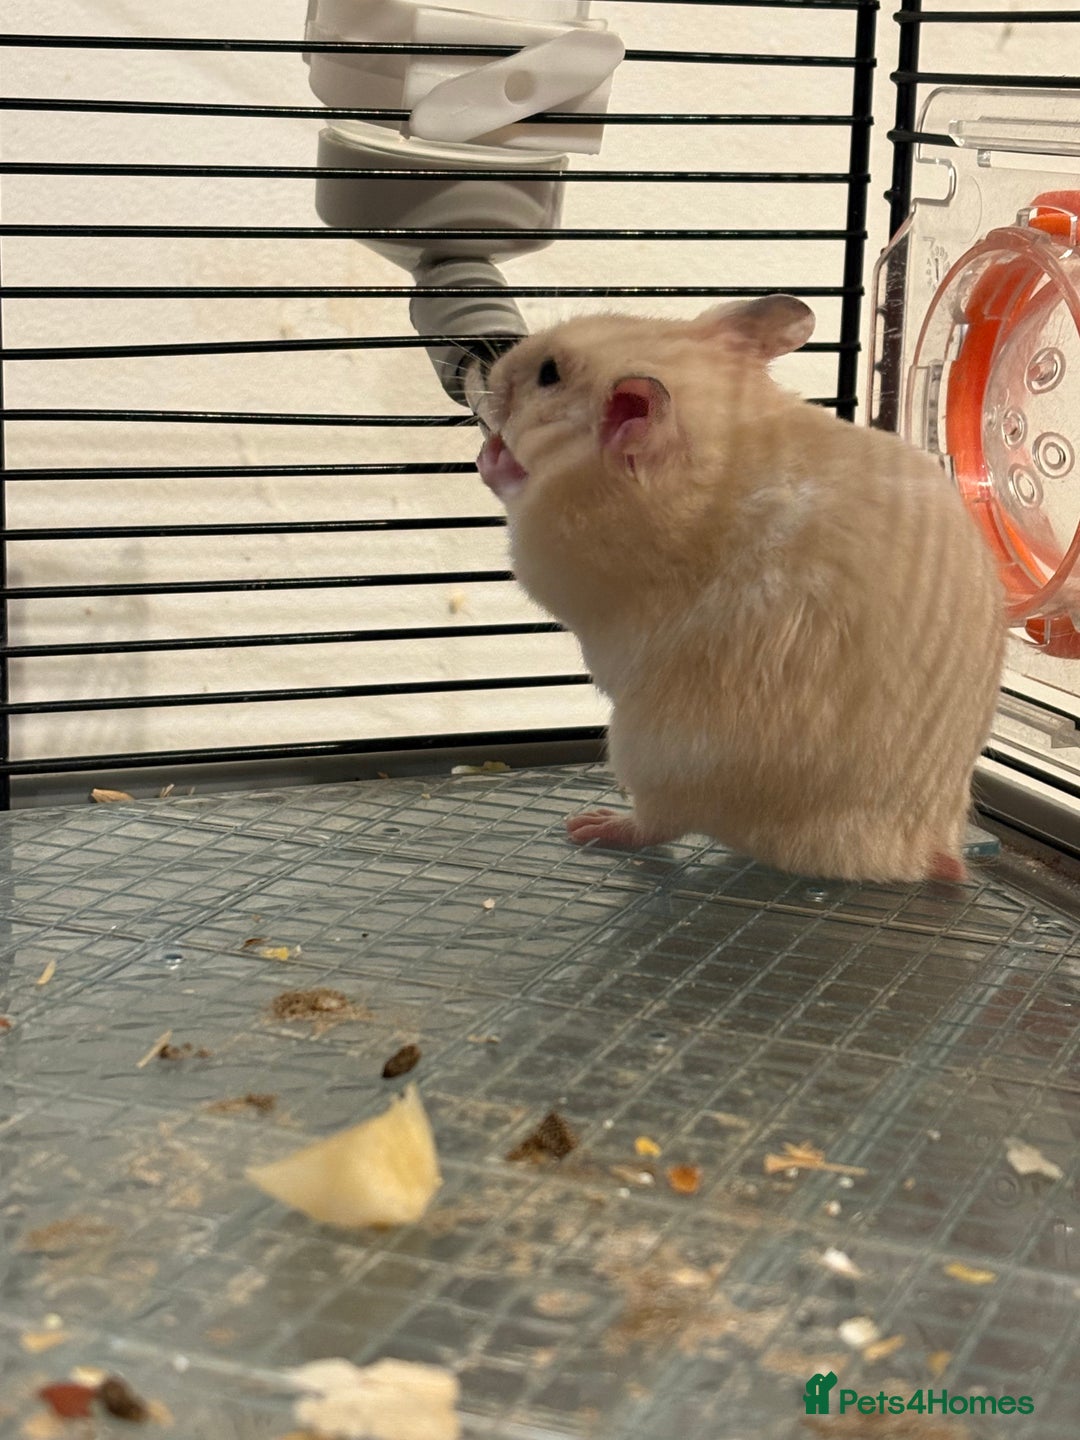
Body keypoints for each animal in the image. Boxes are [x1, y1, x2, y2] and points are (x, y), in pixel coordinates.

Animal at [473, 297, 1005, 884]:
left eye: (549, 375)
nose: (489, 374)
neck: (709, 443)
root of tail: (923, 850)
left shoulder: (561, 544)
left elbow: (519, 501)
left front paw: (492, 454)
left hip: (650, 751)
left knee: (661, 824)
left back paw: (593, 825)